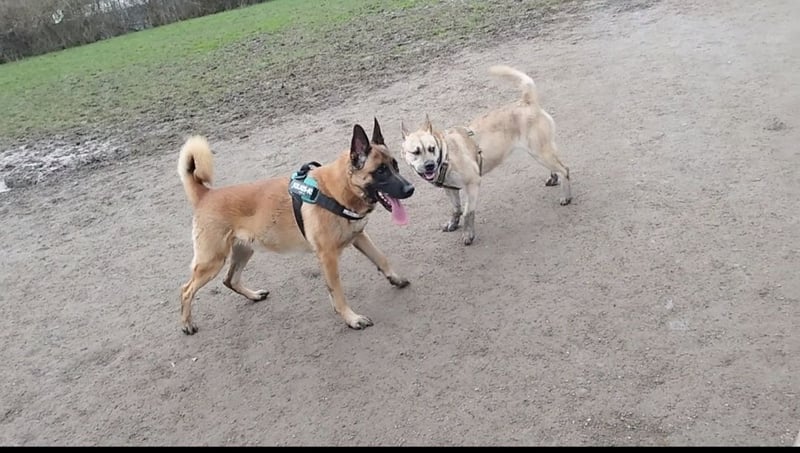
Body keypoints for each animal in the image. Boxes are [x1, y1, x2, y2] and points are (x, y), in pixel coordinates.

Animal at [176, 118, 414, 334]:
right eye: (380, 171)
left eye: (395, 166)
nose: (410, 188)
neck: (337, 190)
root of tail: (206, 194)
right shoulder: (328, 257)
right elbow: (337, 293)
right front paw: (352, 319)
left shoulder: (359, 236)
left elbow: (381, 258)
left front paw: (395, 278)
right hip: (212, 261)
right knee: (186, 290)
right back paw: (187, 324)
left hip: (244, 250)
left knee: (230, 280)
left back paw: (253, 295)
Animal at [400, 65, 572, 245]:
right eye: (416, 152)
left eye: (431, 148)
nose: (429, 165)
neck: (446, 154)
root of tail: (526, 102)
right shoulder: (450, 189)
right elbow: (456, 208)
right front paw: (453, 223)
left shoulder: (473, 184)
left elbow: (468, 212)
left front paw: (468, 234)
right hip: (541, 151)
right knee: (557, 167)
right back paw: (553, 178)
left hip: (540, 152)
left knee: (564, 169)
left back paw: (566, 196)